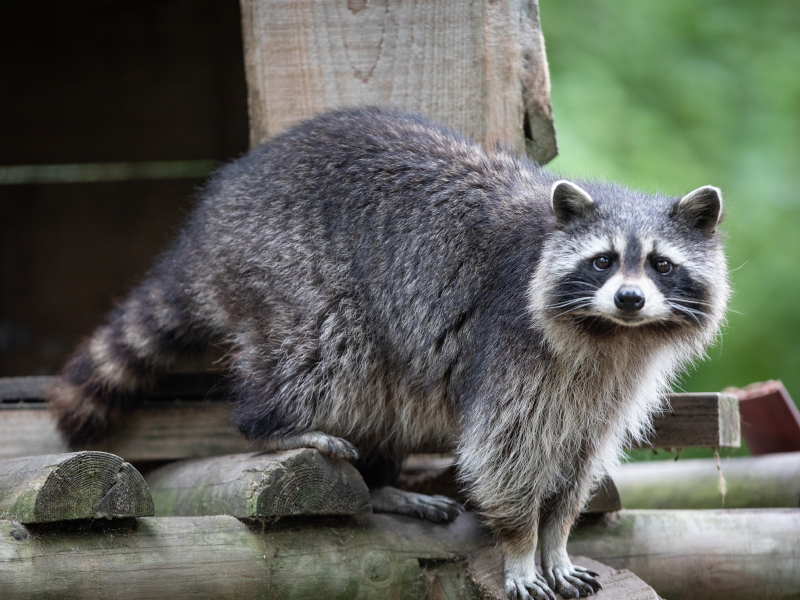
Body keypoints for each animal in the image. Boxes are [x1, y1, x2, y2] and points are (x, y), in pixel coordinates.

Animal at [47, 108, 728, 600]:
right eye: (604, 261)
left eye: (661, 265)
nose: (631, 299)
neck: (609, 333)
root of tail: (207, 227)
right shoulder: (511, 346)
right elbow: (503, 456)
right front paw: (519, 547)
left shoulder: (608, 386)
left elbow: (578, 465)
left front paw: (556, 540)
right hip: (288, 268)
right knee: (330, 351)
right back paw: (276, 426)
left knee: (390, 391)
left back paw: (381, 481)